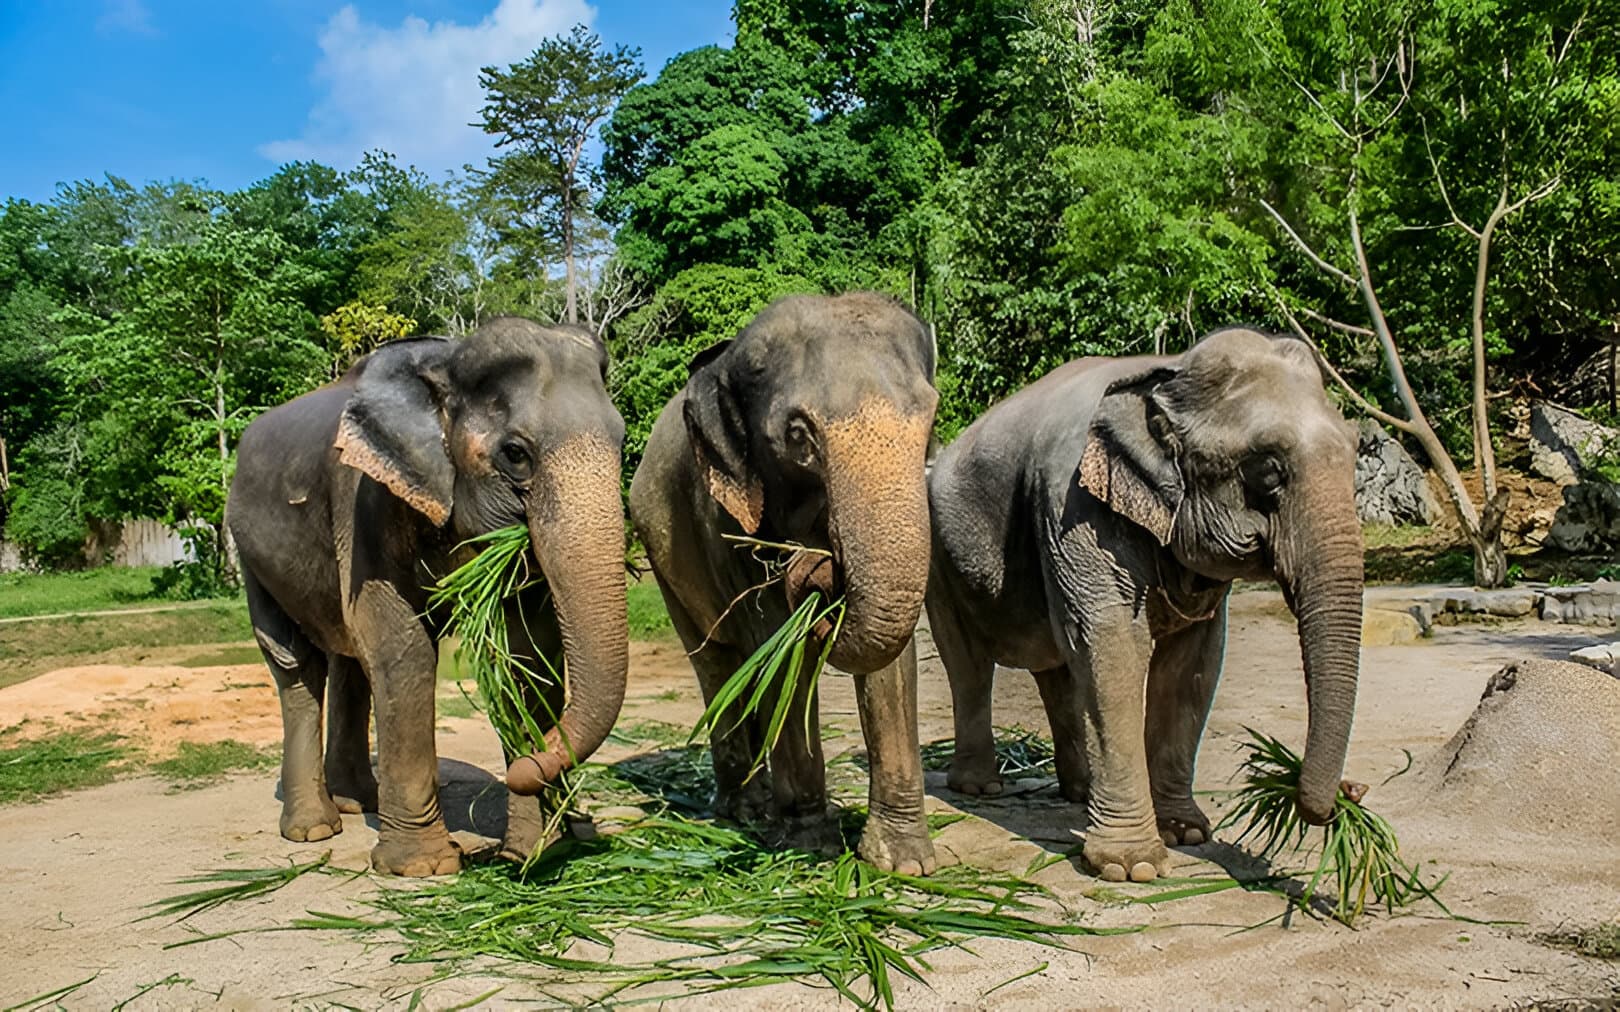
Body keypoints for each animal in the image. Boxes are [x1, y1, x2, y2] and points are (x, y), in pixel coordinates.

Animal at [225, 316, 629, 877]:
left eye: (623, 441)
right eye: (515, 453)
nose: (528, 768)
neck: (445, 361)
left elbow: (528, 655)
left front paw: (536, 851)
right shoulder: (364, 495)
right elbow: (402, 644)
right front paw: (424, 868)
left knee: (349, 660)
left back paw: (360, 802)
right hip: (249, 551)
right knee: (296, 663)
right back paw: (314, 829)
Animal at [629, 292, 939, 875]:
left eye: (931, 421)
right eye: (798, 436)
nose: (819, 565)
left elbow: (891, 664)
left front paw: (903, 864)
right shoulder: (727, 522)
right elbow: (780, 646)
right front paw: (809, 847)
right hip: (661, 557)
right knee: (718, 663)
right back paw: (745, 810)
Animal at [925, 327, 1362, 883]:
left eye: (1357, 453)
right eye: (1267, 471)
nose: (1351, 792)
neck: (1168, 370)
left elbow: (1193, 664)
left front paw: (1186, 833)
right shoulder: (1074, 502)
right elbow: (1115, 645)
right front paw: (1131, 867)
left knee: (1059, 667)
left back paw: (1080, 792)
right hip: (937, 557)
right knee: (969, 664)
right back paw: (980, 787)